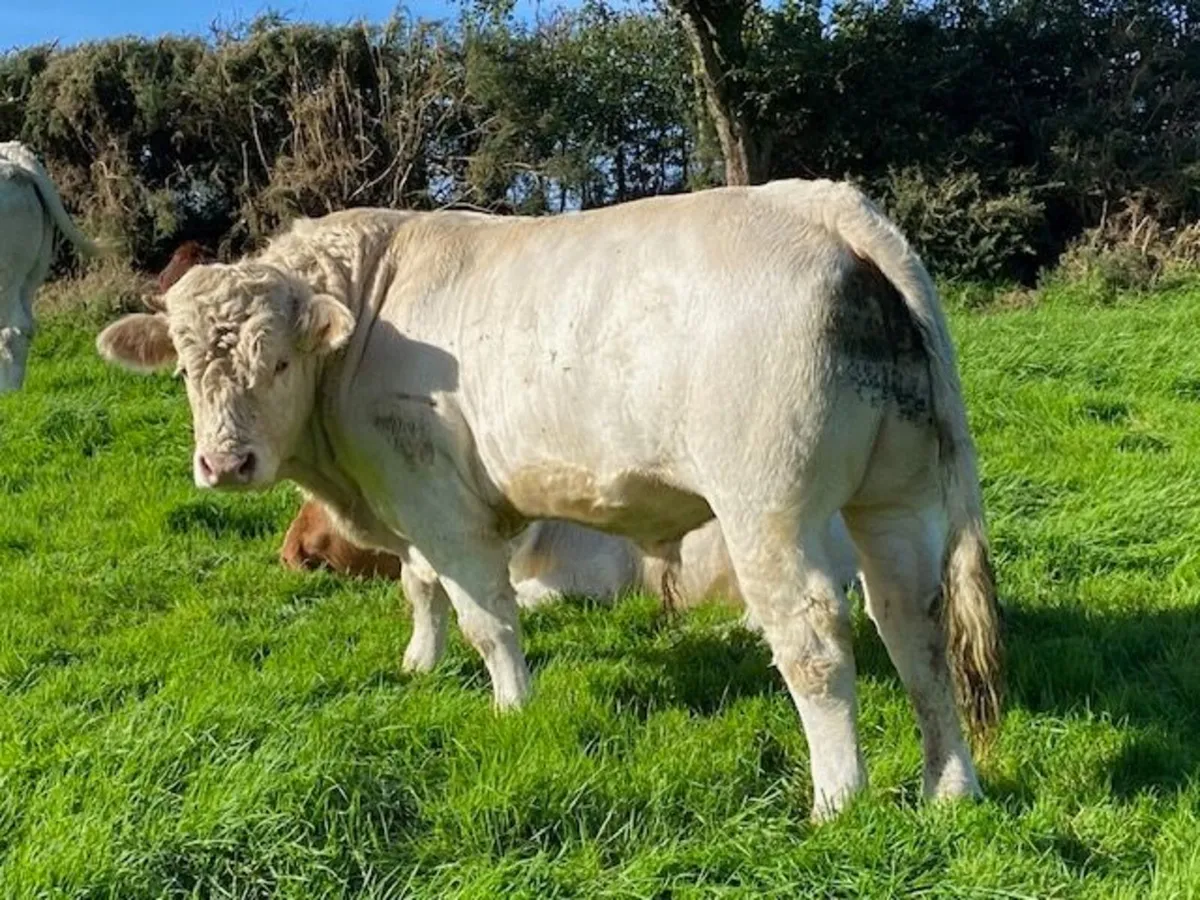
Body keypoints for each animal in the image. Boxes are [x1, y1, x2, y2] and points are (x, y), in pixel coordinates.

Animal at [95, 179, 1003, 820]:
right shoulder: (408, 492)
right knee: (914, 627)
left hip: (769, 511)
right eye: (185, 369)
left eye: (278, 361)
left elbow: (487, 617)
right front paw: (419, 663)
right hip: (897, 497)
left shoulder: (437, 499)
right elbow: (420, 587)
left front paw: (512, 708)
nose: (225, 462)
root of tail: (823, 205)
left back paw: (837, 801)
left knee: (814, 641)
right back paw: (949, 787)